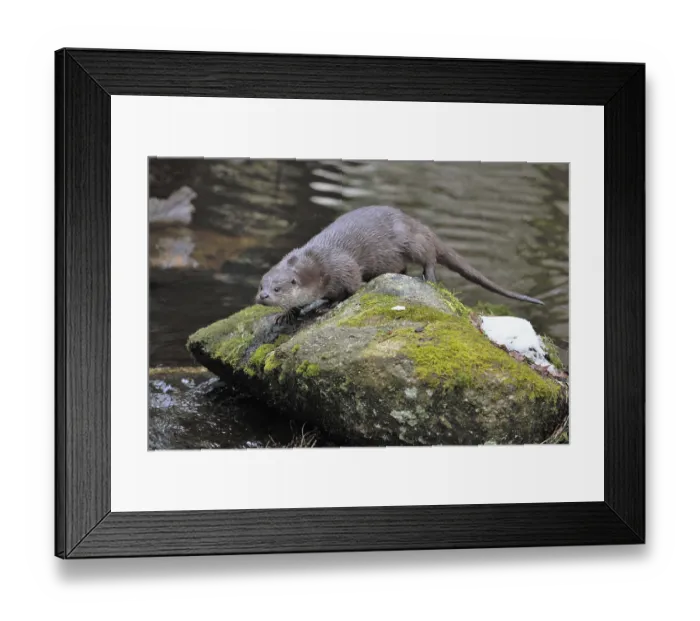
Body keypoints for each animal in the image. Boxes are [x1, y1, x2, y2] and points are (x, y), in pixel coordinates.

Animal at [254, 205, 543, 318]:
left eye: (277, 288)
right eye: (261, 286)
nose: (263, 297)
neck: (315, 263)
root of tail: (418, 224)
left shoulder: (342, 267)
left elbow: (351, 288)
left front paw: (326, 305)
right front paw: (286, 314)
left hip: (412, 242)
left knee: (429, 257)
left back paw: (429, 277)